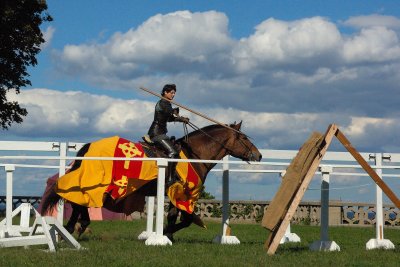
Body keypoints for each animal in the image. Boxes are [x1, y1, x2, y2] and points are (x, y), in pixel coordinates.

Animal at [39, 122, 260, 242]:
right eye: (243, 138)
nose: (258, 155)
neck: (193, 155)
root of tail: (89, 146)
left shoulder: (175, 194)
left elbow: (173, 217)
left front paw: (167, 235)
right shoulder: (183, 193)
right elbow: (185, 219)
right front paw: (165, 235)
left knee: (79, 202)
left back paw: (73, 228)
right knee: (78, 201)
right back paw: (73, 228)